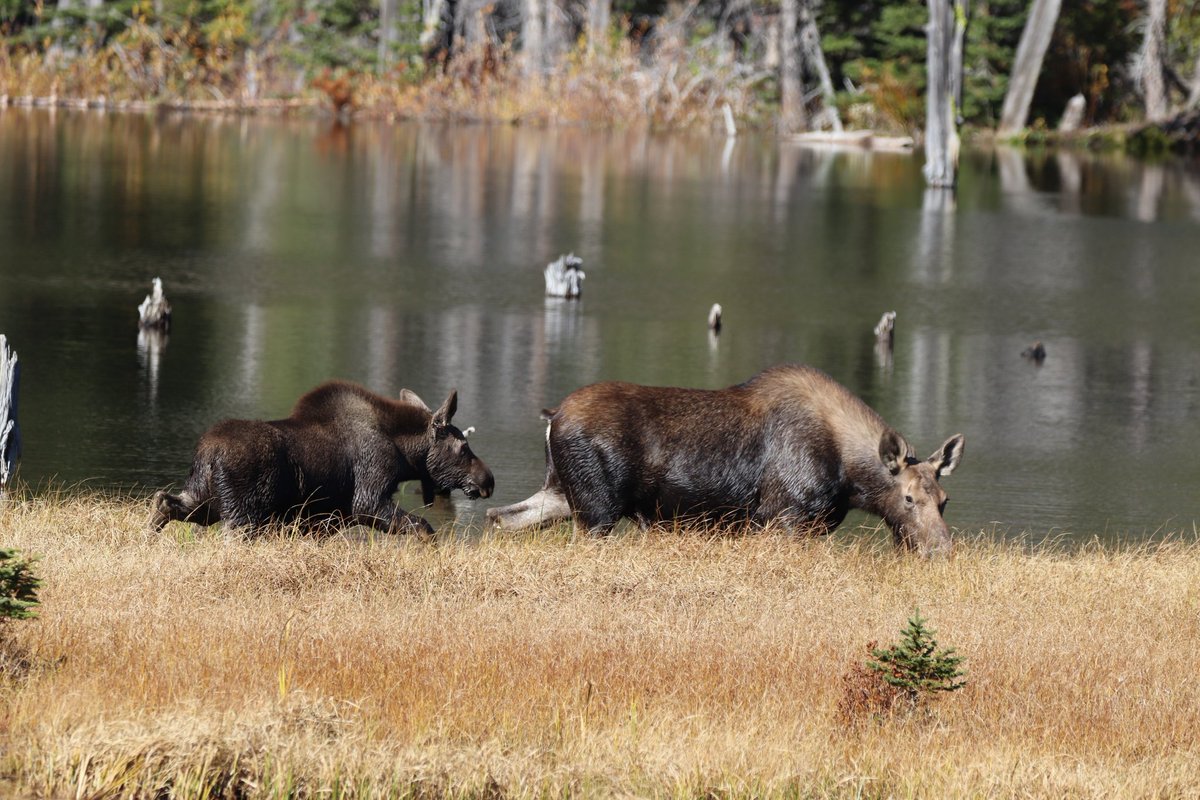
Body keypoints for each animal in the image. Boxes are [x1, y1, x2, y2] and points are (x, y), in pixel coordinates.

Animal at [152, 383, 494, 534]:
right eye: (463, 448)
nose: (488, 479)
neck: (405, 456)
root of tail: (208, 453)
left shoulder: (324, 518)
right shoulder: (367, 498)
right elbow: (422, 527)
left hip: (203, 498)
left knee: (165, 501)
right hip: (243, 514)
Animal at [487, 364, 964, 556]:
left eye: (944, 501)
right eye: (908, 498)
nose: (941, 550)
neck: (849, 478)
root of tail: (551, 417)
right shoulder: (786, 519)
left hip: (561, 493)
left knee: (501, 517)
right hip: (595, 510)